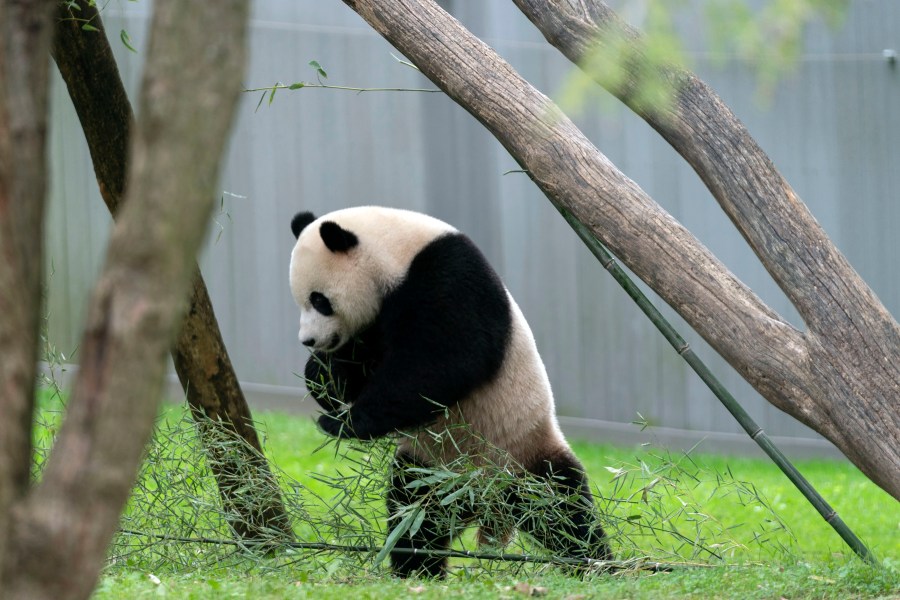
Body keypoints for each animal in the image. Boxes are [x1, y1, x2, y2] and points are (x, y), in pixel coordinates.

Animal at [288, 206, 612, 576]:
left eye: (319, 300)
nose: (309, 340)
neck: (396, 250)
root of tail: (484, 500)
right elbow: (358, 365)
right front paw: (322, 379)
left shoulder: (447, 273)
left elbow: (445, 360)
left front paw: (344, 422)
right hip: (427, 470)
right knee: (415, 516)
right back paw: (416, 569)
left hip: (522, 452)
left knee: (562, 509)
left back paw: (595, 564)